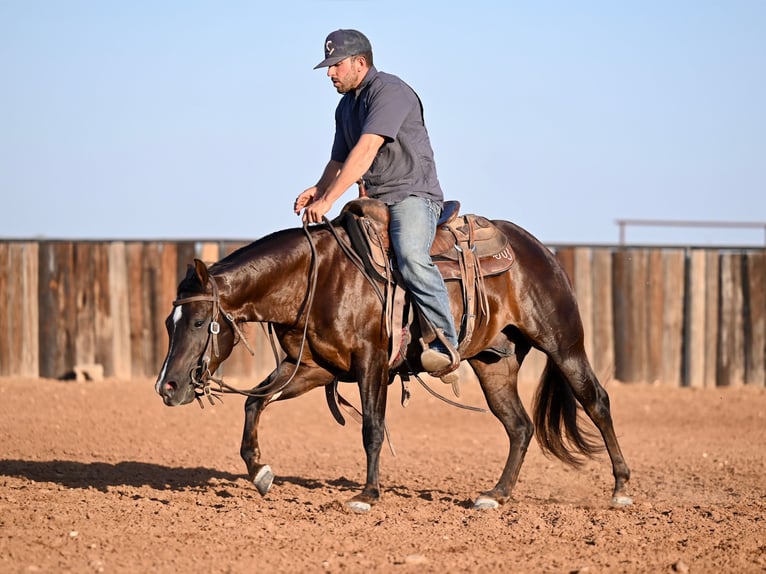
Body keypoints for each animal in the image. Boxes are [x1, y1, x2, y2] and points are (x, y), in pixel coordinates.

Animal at [154, 200, 632, 516]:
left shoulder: (372, 362)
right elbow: (254, 401)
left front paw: (367, 494)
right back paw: (495, 495)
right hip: (494, 363)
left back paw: (621, 488)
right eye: (168, 322)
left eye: (198, 321)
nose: (167, 387)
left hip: (564, 345)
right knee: (518, 425)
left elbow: (372, 428)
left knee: (597, 402)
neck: (316, 277)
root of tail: (539, 249)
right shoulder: (310, 367)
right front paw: (259, 472)